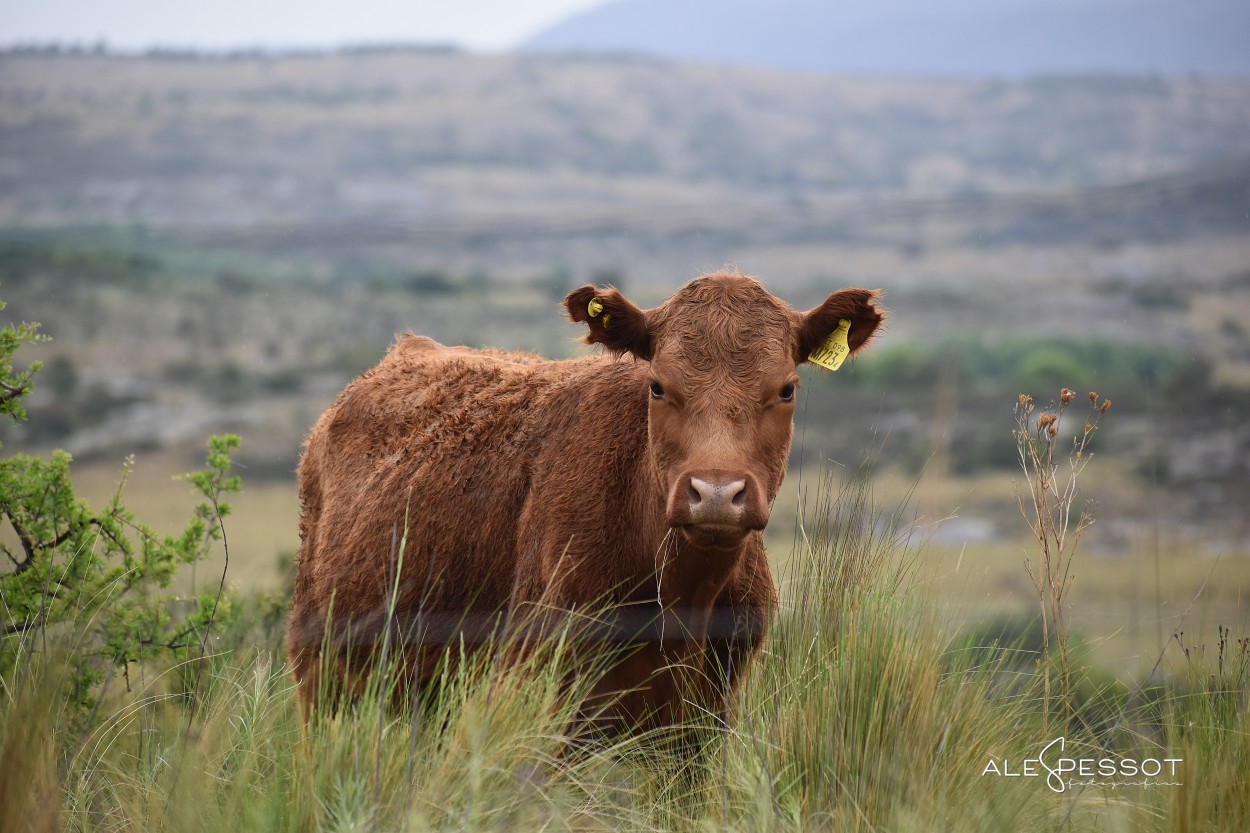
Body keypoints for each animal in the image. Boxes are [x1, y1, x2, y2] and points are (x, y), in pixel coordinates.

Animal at [287, 267, 885, 735]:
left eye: (786, 389)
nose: (716, 494)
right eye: (657, 385)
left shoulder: (707, 717)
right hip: (318, 669)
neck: (682, 594)